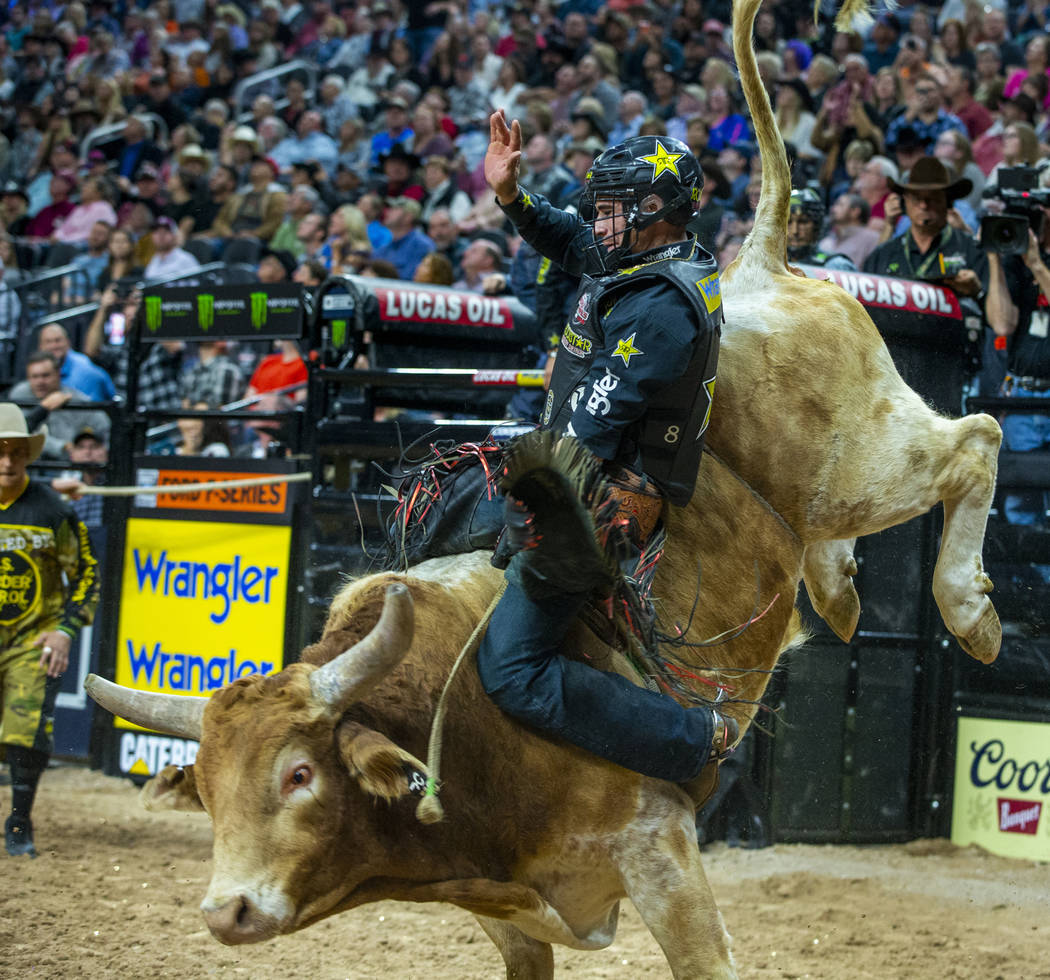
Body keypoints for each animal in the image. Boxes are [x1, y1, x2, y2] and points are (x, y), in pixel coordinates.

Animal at [84, 1, 999, 978]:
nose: (229, 910)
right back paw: (839, 589)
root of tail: (759, 268)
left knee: (974, 443)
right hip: (830, 489)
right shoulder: (508, 913)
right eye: (210, 784)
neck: (460, 719)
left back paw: (971, 612)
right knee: (848, 527)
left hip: (863, 458)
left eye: (299, 773)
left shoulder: (659, 851)